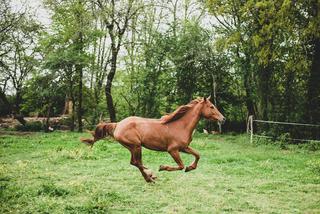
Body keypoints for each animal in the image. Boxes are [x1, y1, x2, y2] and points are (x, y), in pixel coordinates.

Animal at [80, 97, 225, 182]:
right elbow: (180, 165)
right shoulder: (173, 150)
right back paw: (150, 176)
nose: (223, 119)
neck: (180, 125)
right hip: (136, 146)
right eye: (211, 106)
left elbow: (197, 155)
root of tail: (118, 124)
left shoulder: (184, 148)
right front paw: (162, 167)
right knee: (136, 162)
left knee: (135, 162)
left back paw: (149, 176)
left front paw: (190, 168)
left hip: (133, 147)